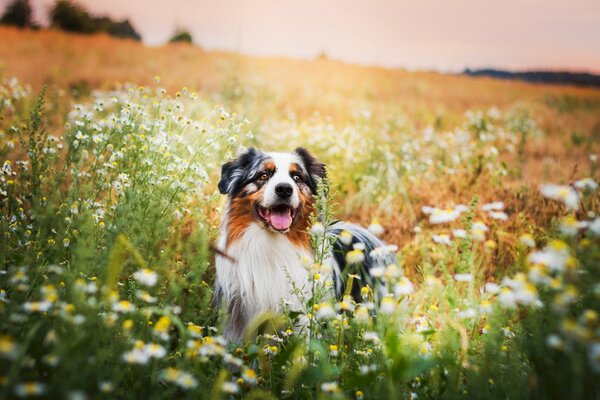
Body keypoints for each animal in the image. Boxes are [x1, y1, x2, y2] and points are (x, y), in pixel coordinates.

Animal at [213, 147, 392, 340]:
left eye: (297, 177)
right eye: (263, 175)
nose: (284, 189)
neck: (272, 244)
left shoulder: (302, 320)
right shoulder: (236, 317)